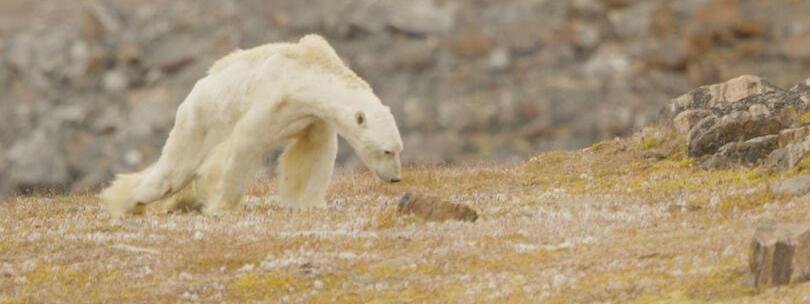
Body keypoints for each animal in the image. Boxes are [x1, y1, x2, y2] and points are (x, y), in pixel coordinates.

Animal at [102, 34, 404, 217]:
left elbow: (313, 153)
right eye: (387, 151)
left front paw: (310, 203)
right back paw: (129, 202)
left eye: (399, 149)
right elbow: (245, 144)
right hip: (200, 120)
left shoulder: (312, 116)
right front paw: (221, 206)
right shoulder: (272, 97)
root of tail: (195, 90)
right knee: (173, 171)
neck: (306, 74)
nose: (395, 178)